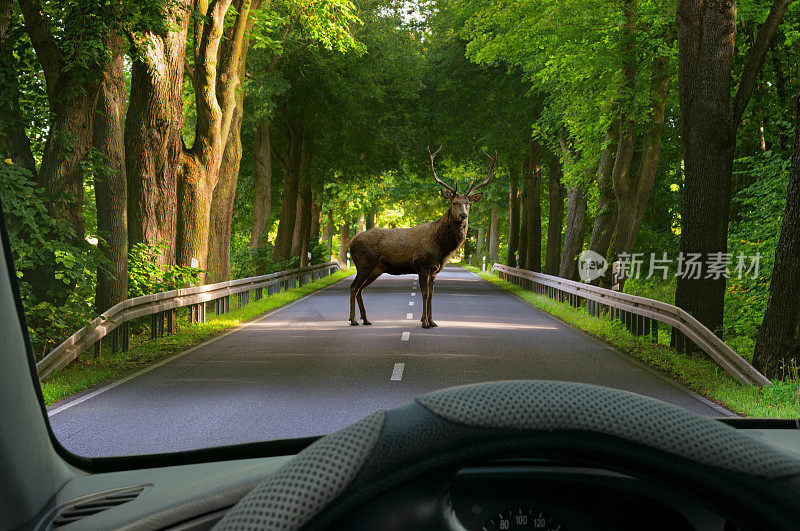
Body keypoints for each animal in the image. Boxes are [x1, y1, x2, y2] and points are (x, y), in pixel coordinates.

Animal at [348, 147, 496, 328]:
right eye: (453, 202)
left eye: (469, 204)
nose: (463, 215)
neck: (442, 249)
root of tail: (351, 242)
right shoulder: (422, 265)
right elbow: (425, 294)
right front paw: (424, 322)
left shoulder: (434, 271)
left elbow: (432, 295)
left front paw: (432, 321)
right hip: (364, 264)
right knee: (353, 287)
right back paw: (353, 319)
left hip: (375, 268)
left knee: (360, 288)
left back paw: (366, 319)